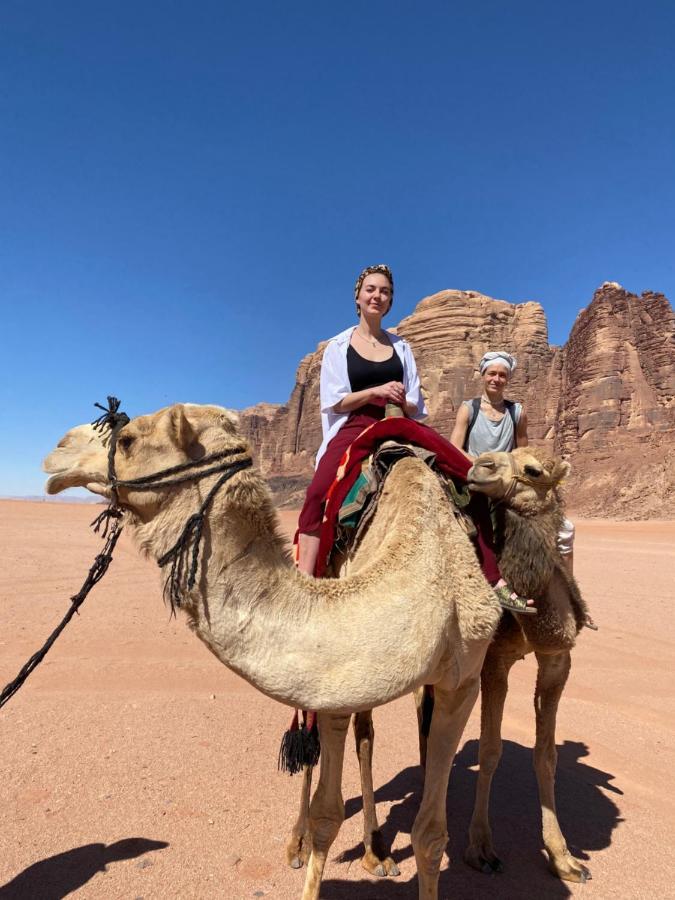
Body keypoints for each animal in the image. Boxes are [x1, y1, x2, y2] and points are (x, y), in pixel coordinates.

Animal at [39, 404, 500, 896]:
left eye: (126, 440)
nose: (58, 449)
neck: (429, 564)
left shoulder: (461, 681)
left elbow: (429, 834)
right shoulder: (338, 681)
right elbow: (325, 814)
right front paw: (310, 846)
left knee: (370, 736)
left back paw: (376, 852)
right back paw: (305, 844)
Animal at [290, 444, 592, 884]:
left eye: (534, 470)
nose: (481, 465)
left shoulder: (556, 658)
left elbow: (546, 753)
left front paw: (563, 856)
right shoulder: (494, 660)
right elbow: (490, 750)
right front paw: (481, 847)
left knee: (373, 732)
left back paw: (377, 849)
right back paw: (304, 843)